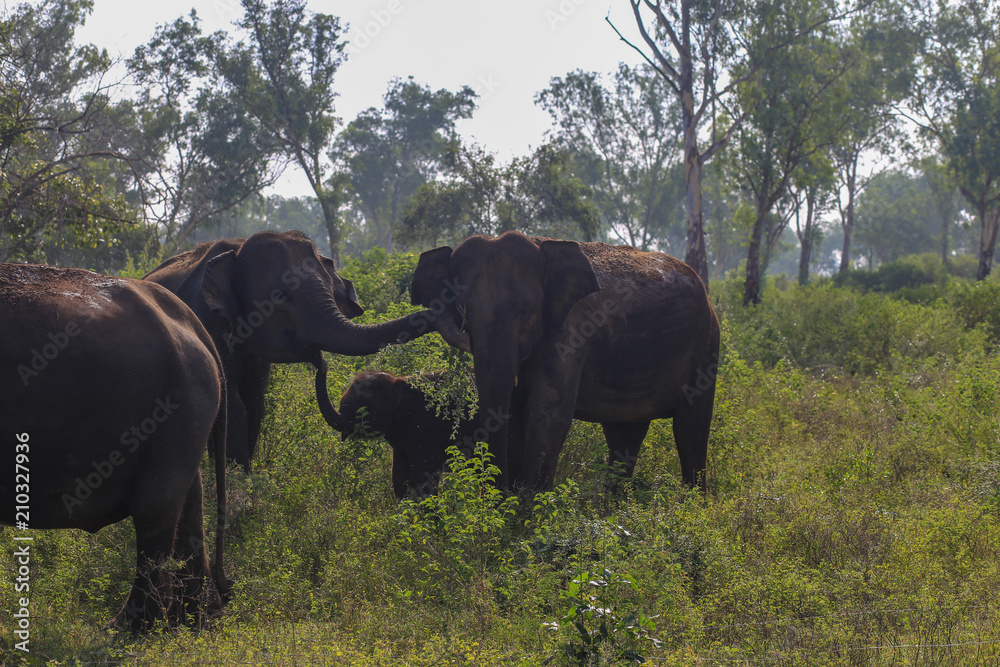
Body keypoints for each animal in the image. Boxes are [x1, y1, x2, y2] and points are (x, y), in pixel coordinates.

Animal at [1, 263, 228, 632]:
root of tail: (194, 323)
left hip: (175, 403)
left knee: (155, 508)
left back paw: (129, 629)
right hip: (186, 412)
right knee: (188, 502)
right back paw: (194, 622)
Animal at [144, 230, 468, 471]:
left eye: (331, 290)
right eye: (280, 297)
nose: (319, 361)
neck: (236, 250)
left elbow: (254, 403)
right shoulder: (208, 324)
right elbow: (233, 404)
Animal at [329, 370, 477, 499]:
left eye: (364, 406)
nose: (323, 364)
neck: (398, 381)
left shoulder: (426, 428)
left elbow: (423, 478)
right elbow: (399, 478)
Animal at [409, 231, 720, 493]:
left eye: (527, 312)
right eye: (463, 312)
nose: (499, 494)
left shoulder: (573, 329)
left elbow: (545, 415)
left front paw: (528, 513)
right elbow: (514, 414)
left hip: (706, 344)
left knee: (690, 429)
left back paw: (694, 506)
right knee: (625, 434)